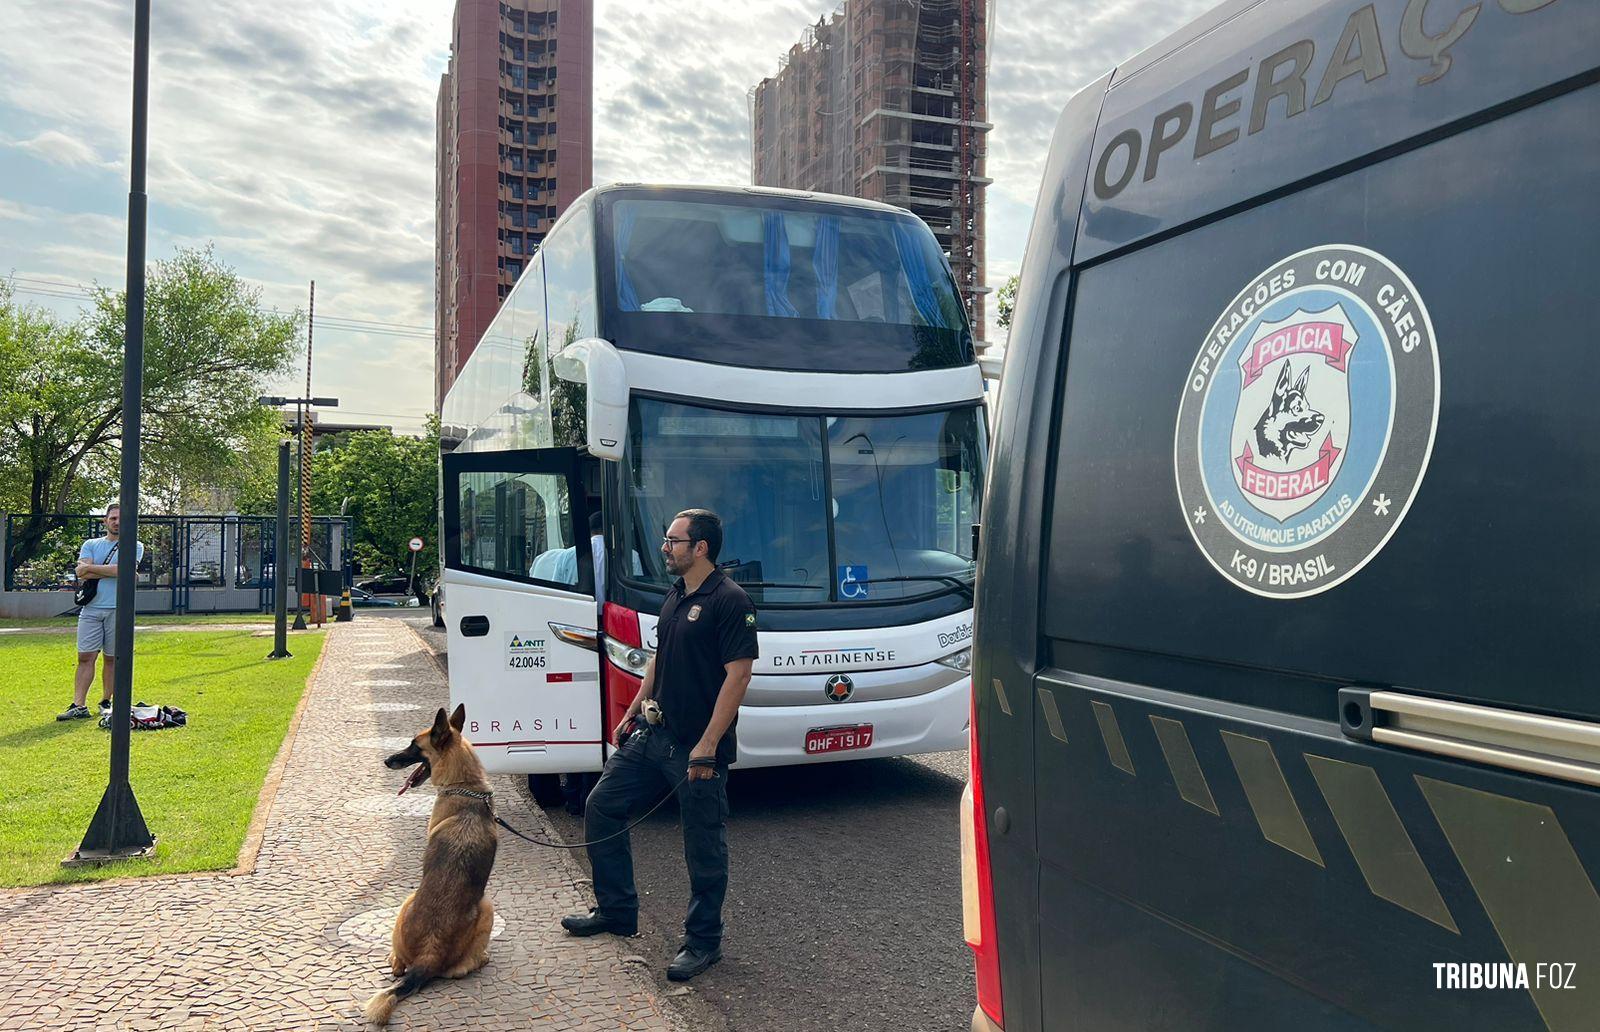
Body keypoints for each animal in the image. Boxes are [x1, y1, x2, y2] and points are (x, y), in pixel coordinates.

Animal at [366, 700, 496, 1024]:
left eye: (414, 746)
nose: (387, 760)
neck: (466, 786)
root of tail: (430, 953)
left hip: (452, 902)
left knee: (406, 966)